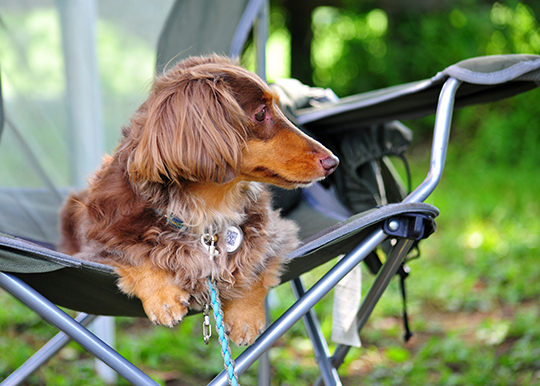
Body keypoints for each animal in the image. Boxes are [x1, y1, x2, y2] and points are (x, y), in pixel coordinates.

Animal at [59, 53, 338, 344]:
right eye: (261, 113)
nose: (333, 162)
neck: (206, 209)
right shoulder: (97, 242)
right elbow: (134, 254)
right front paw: (163, 298)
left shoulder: (276, 232)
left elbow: (256, 262)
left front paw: (246, 314)